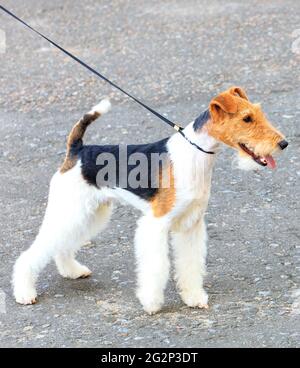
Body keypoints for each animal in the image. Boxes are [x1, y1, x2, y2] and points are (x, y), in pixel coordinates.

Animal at [12, 86, 288, 314]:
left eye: (258, 113)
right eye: (246, 118)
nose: (283, 143)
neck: (195, 154)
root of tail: (77, 150)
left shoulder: (191, 223)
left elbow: (190, 264)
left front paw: (193, 297)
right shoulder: (156, 223)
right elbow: (156, 266)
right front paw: (152, 303)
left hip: (91, 213)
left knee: (62, 245)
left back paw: (72, 271)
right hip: (71, 209)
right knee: (35, 252)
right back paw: (25, 293)